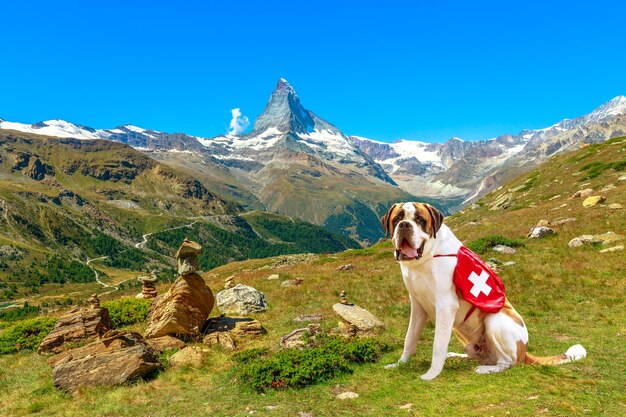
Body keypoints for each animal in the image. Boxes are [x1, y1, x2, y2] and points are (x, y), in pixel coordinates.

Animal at [380, 202, 584, 380]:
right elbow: (410, 338)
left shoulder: (446, 307)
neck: (425, 259)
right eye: (397, 218)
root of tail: (525, 352)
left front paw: (431, 375)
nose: (404, 225)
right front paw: (400, 363)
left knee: (507, 363)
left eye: (420, 220)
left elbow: (438, 345)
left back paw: (486, 369)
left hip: (494, 321)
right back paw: (456, 356)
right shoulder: (417, 306)